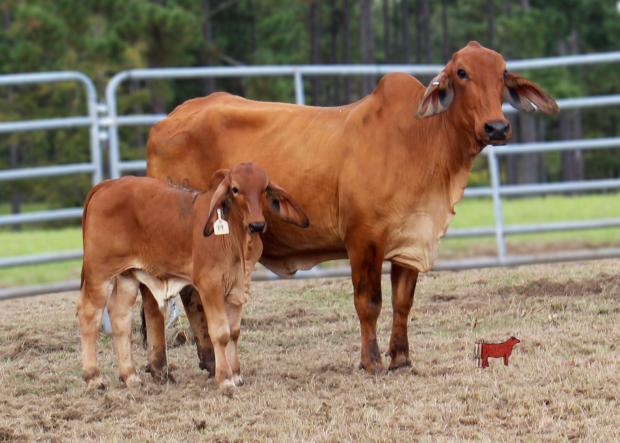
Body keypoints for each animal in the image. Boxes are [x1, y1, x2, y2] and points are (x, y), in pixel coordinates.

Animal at [76, 163, 308, 392]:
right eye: (235, 189)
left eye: (264, 189)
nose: (257, 225)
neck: (234, 237)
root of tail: (106, 185)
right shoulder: (210, 286)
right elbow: (220, 333)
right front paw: (225, 379)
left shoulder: (238, 287)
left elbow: (234, 332)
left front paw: (237, 374)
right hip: (99, 273)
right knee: (89, 315)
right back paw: (94, 378)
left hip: (127, 276)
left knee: (120, 317)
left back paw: (130, 376)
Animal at [143, 41, 560, 376]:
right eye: (461, 72)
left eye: (502, 73)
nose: (497, 127)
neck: (421, 141)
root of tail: (164, 123)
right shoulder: (363, 240)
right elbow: (369, 303)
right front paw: (371, 361)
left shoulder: (408, 240)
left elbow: (403, 302)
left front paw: (401, 358)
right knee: (176, 297)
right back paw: (182, 363)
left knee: (188, 295)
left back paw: (203, 360)